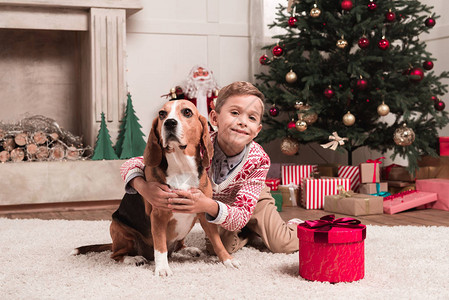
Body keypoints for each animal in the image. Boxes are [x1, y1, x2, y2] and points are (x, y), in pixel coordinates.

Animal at [72, 100, 238, 276]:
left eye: (187, 112)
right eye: (162, 114)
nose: (169, 123)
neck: (182, 167)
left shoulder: (203, 210)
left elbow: (217, 241)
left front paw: (228, 260)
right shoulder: (158, 216)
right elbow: (160, 247)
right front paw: (162, 268)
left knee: (177, 246)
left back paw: (188, 250)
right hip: (119, 228)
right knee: (116, 255)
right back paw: (134, 258)